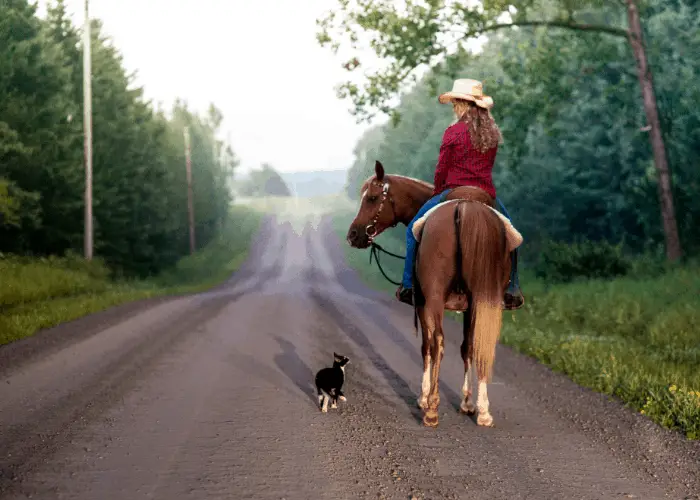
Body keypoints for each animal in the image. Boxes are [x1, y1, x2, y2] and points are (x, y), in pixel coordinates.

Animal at [348, 162, 512, 428]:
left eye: (372, 198)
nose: (352, 235)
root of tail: (463, 208)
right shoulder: (470, 305)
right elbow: (468, 347)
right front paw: (467, 403)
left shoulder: (423, 303)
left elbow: (426, 346)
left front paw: (423, 398)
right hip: (482, 296)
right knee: (480, 343)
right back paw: (484, 412)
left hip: (434, 298)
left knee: (438, 342)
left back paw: (432, 409)